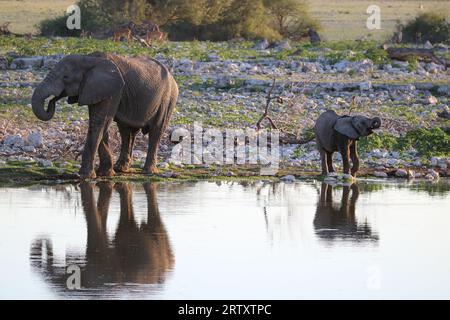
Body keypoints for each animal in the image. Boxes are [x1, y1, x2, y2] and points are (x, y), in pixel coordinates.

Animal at [31, 51, 178, 179]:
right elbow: (100, 124)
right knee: (126, 131)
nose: (52, 101)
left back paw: (148, 171)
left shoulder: (112, 91)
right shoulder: (95, 90)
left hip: (168, 97)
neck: (89, 59)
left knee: (156, 130)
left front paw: (84, 176)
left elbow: (99, 122)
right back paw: (120, 168)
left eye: (65, 77)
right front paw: (105, 173)